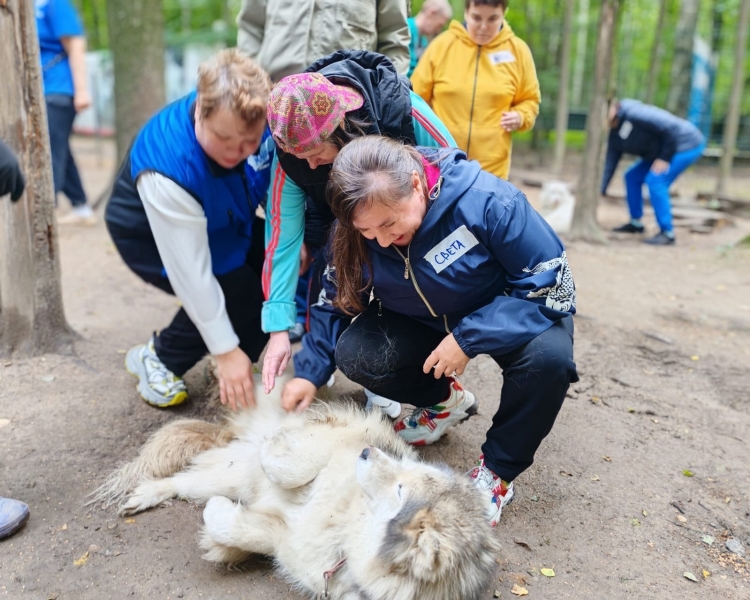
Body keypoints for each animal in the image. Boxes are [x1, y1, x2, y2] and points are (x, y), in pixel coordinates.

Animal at [91, 381, 501, 600]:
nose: (369, 452)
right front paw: (274, 446)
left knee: (188, 483)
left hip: (225, 476)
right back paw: (142, 494)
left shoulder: (284, 541)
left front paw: (220, 529)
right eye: (408, 471)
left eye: (400, 490)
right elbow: (289, 466)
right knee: (177, 479)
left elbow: (236, 528)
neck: (344, 531)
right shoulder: (329, 441)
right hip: (230, 469)